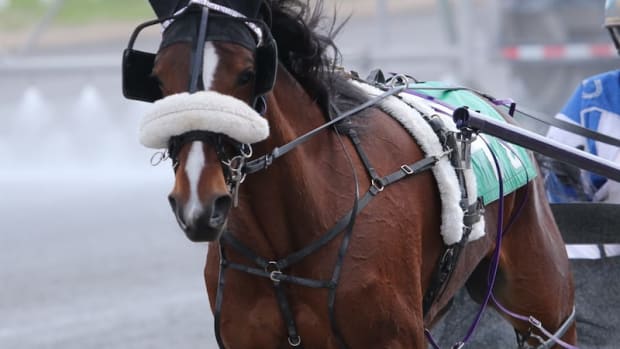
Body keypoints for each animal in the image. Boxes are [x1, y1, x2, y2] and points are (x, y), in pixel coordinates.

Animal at [123, 1, 580, 346]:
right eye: (158, 79)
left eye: (247, 73)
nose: (199, 203)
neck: (281, 251)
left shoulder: (393, 337)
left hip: (546, 303)